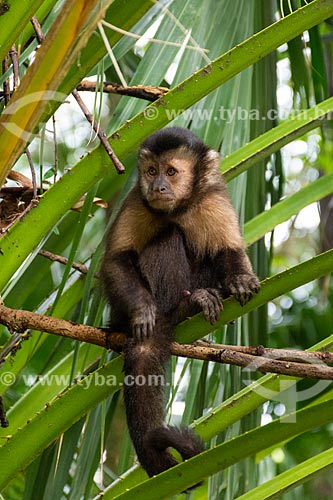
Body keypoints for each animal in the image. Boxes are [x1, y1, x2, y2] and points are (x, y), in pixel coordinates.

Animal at [101, 127, 260, 478]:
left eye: (171, 172)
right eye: (151, 171)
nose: (158, 186)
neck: (177, 208)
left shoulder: (213, 199)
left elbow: (228, 250)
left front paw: (240, 278)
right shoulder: (137, 201)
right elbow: (116, 260)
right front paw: (143, 310)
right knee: (168, 236)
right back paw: (180, 308)